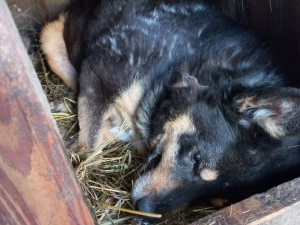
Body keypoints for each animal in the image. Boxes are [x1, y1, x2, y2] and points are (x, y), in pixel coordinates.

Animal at [40, 0, 300, 224]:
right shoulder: (98, 76)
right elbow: (90, 145)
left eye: (213, 200)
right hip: (50, 38)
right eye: (197, 158)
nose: (143, 214)